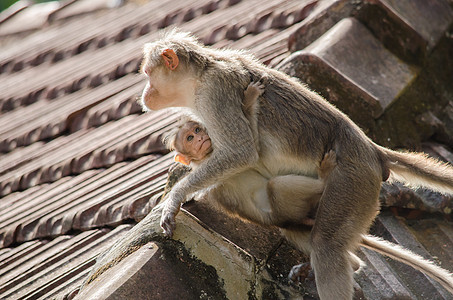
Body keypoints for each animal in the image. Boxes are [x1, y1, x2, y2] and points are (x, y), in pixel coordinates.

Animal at [140, 29, 452, 298]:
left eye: (147, 74)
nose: (144, 93)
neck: (200, 75)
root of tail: (371, 150)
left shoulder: (215, 92)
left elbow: (241, 152)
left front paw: (175, 196)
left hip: (353, 179)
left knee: (326, 246)